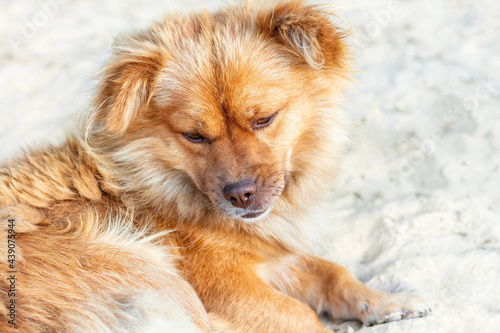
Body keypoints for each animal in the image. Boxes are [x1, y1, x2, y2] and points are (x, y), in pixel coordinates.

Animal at [0, 1, 430, 330]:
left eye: (264, 119)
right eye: (194, 136)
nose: (241, 194)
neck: (150, 184)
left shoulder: (275, 257)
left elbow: (333, 273)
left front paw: (385, 300)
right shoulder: (226, 285)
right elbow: (302, 314)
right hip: (146, 269)